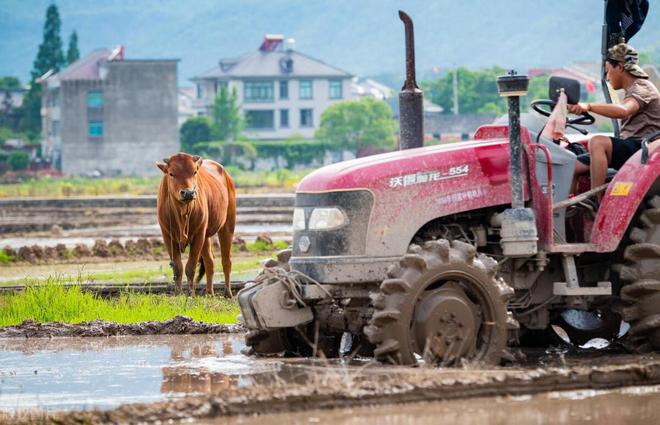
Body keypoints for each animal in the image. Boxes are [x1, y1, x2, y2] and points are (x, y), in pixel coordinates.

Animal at [155, 153, 237, 298]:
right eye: (171, 173)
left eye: (194, 172)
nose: (188, 193)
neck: (182, 212)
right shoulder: (167, 236)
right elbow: (177, 268)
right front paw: (178, 294)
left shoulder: (199, 235)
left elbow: (191, 266)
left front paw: (191, 294)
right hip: (206, 236)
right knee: (210, 261)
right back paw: (210, 293)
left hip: (228, 225)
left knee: (226, 261)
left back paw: (227, 293)